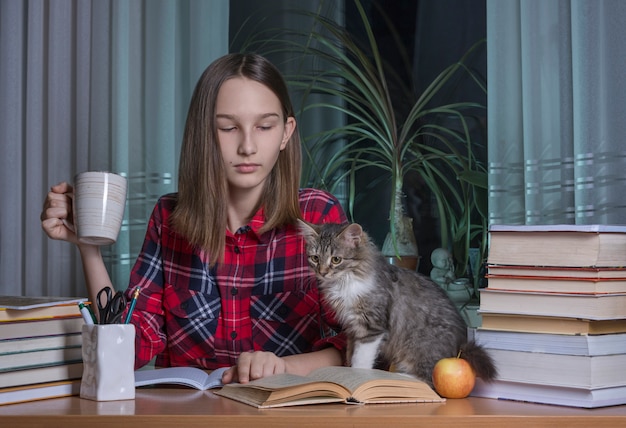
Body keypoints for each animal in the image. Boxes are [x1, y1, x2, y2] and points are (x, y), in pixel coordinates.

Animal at [298, 222, 498, 386]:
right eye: (315, 258)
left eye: (336, 259)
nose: (322, 272)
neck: (344, 283)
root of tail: (460, 345)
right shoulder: (351, 328)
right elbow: (350, 354)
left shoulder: (371, 327)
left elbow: (361, 359)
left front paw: (358, 377)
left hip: (417, 347)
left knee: (427, 378)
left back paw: (399, 378)